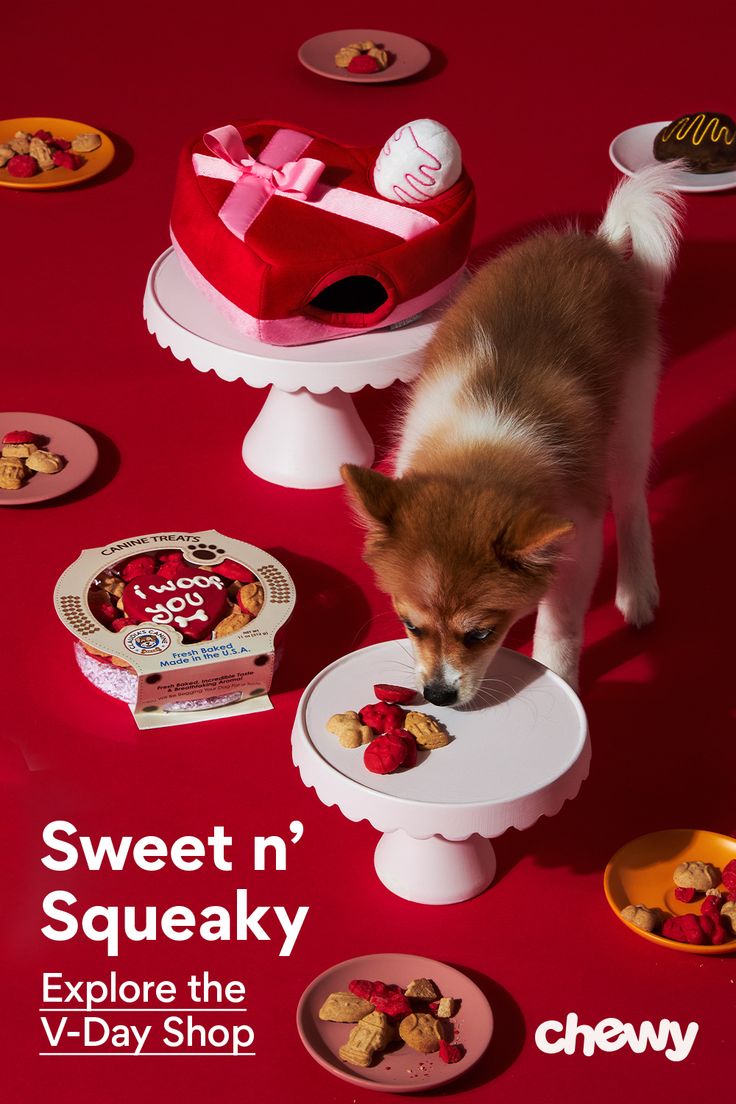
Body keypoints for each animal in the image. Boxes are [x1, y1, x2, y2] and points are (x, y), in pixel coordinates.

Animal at [342, 164, 684, 706]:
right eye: (410, 625)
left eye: (480, 634)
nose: (438, 695)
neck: (483, 446)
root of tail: (601, 244)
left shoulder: (580, 539)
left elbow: (560, 626)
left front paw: (559, 677)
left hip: (633, 412)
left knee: (631, 502)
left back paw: (637, 589)